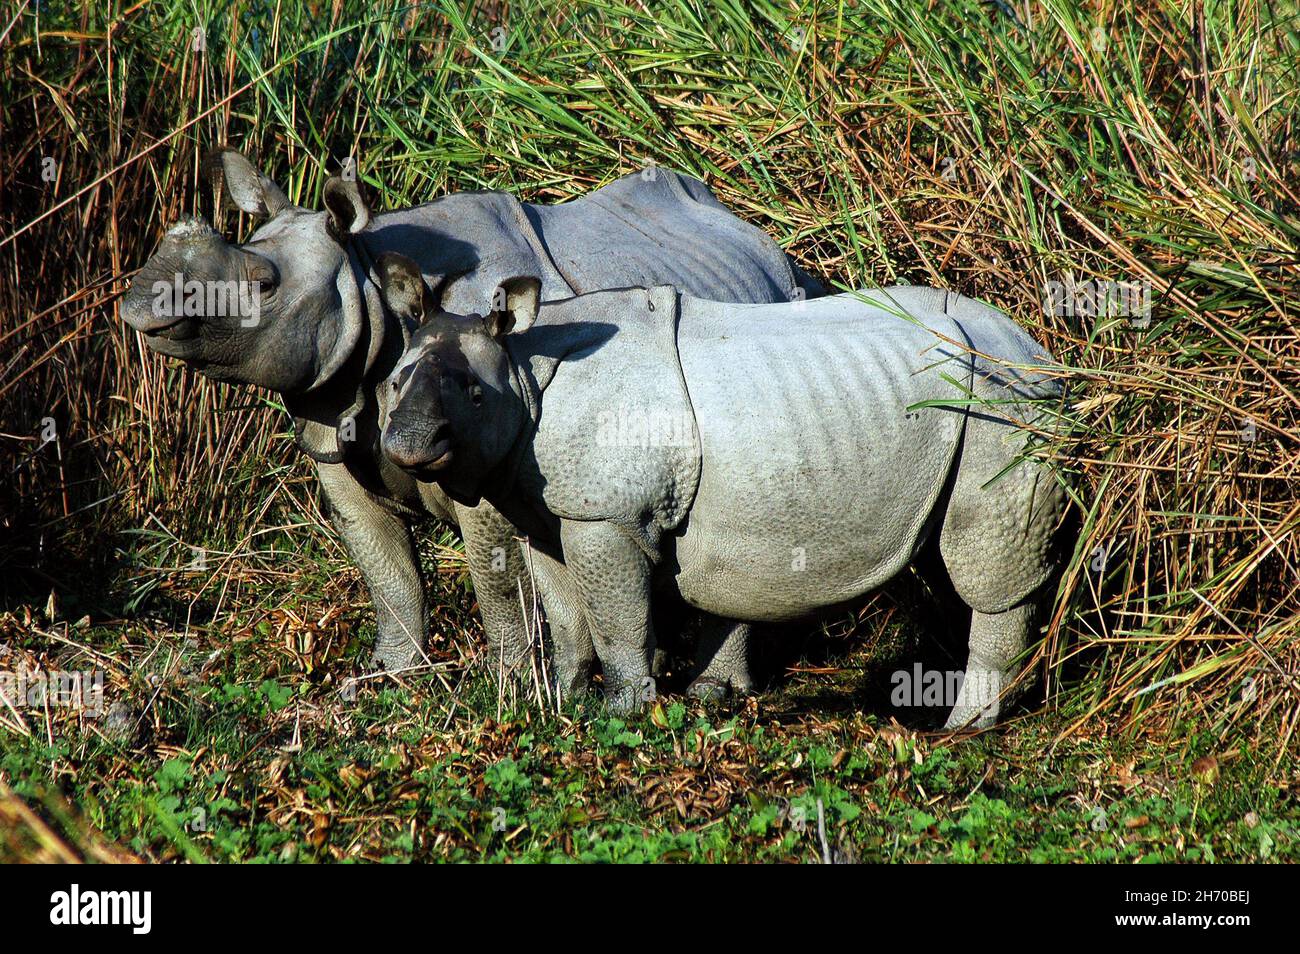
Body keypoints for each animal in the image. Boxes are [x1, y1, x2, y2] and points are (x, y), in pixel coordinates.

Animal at [118, 149, 814, 696]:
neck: (369, 282)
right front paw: (384, 679)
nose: (139, 301)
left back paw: (712, 691)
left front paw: (508, 685)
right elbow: (384, 567)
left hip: (774, 324)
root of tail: (765, 243)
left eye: (263, 284)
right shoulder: (329, 421)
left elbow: (495, 576)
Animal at [376, 256, 1072, 728]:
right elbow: (565, 607)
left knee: (986, 562)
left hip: (1007, 402)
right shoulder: (548, 506)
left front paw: (620, 715)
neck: (524, 367)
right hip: (993, 398)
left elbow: (615, 616)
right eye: (391, 383)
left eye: (474, 395)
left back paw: (962, 730)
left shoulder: (607, 513)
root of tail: (1038, 348)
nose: (406, 444)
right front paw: (563, 703)